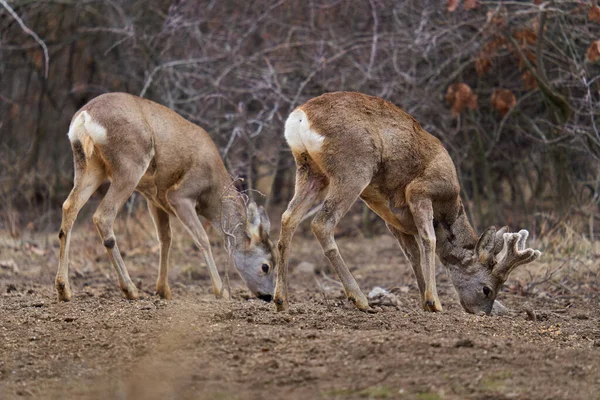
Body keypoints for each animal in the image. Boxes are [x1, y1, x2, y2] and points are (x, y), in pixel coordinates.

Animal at [55, 92, 276, 302]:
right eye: (266, 266)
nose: (269, 296)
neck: (213, 192)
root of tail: (85, 116)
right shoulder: (179, 196)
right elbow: (202, 238)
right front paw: (221, 292)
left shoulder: (154, 199)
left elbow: (165, 238)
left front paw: (163, 290)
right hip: (130, 165)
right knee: (103, 215)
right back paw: (130, 289)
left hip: (90, 166)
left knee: (69, 207)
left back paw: (64, 289)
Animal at [274, 92, 540, 314]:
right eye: (487, 289)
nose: (483, 313)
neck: (449, 208)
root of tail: (300, 117)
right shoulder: (420, 191)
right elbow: (429, 240)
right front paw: (434, 302)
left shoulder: (393, 220)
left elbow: (412, 254)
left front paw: (424, 300)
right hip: (352, 169)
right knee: (322, 223)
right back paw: (360, 299)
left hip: (311, 171)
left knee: (288, 217)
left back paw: (281, 300)